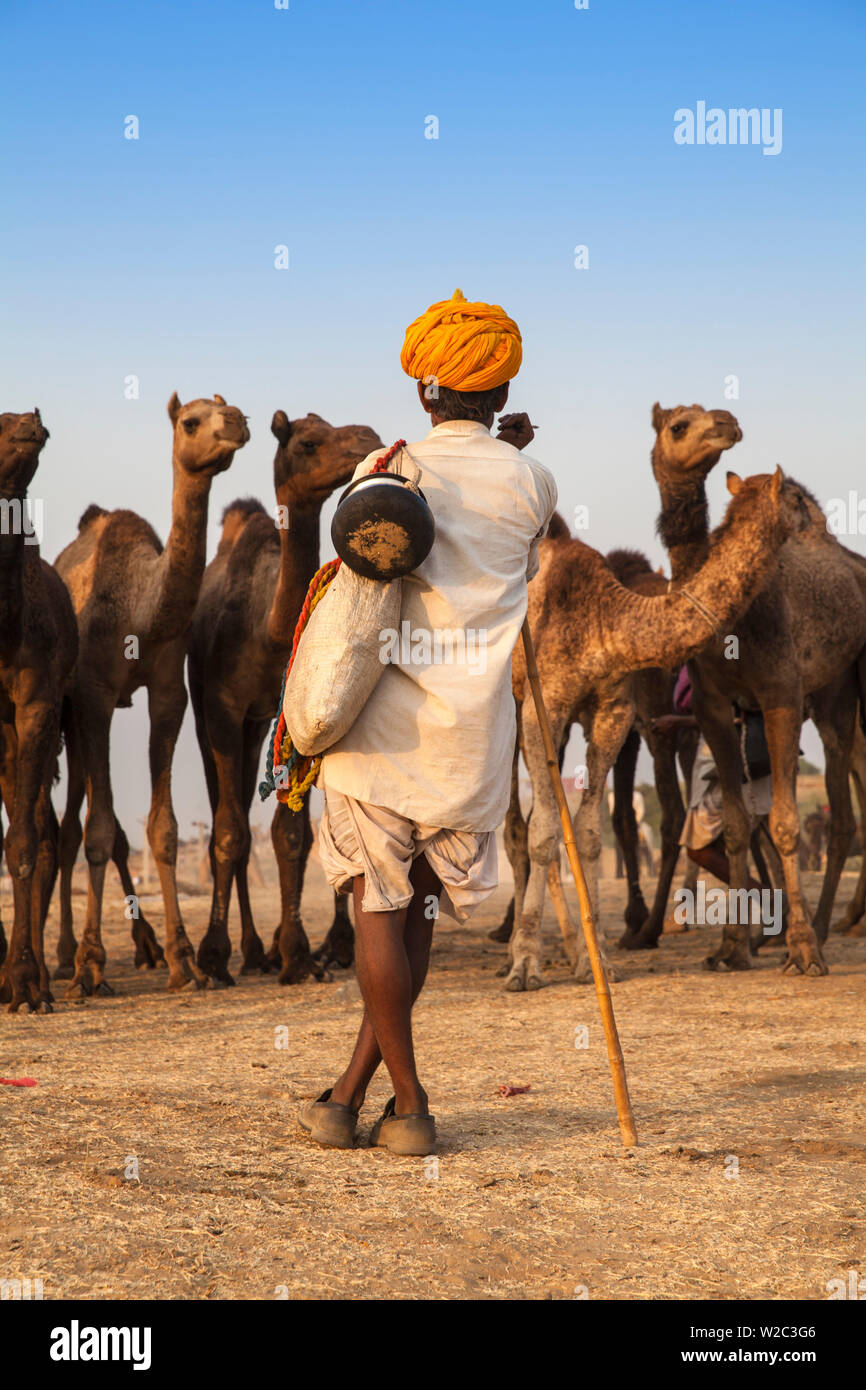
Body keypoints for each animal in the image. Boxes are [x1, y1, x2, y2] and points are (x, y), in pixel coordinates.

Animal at [54, 393, 250, 994]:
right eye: (190, 421)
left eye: (229, 408)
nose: (237, 423)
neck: (141, 609)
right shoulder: (93, 692)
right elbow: (97, 830)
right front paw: (90, 966)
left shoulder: (168, 691)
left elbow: (161, 829)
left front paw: (185, 961)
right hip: (65, 714)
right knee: (74, 826)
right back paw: (67, 957)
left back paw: (144, 949)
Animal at [187, 411, 382, 986]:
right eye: (308, 441)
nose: (366, 437)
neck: (265, 630)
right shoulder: (222, 710)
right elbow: (229, 831)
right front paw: (212, 956)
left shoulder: (289, 716)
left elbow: (293, 834)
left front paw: (297, 953)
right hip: (210, 716)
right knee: (226, 815)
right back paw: (246, 951)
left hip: (260, 726)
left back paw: (272, 948)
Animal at [502, 466, 811, 992]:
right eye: (797, 499)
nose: (816, 522)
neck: (606, 618)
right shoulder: (548, 705)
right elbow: (543, 831)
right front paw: (525, 965)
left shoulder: (612, 713)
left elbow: (587, 832)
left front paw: (598, 962)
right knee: (516, 828)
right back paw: (515, 953)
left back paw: (572, 949)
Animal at [651, 402, 866, 975]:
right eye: (678, 424)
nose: (726, 421)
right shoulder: (713, 707)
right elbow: (735, 826)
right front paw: (731, 946)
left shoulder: (780, 696)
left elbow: (788, 823)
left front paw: (802, 951)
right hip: (831, 698)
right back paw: (819, 924)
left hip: (844, 692)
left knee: (842, 812)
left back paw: (819, 930)